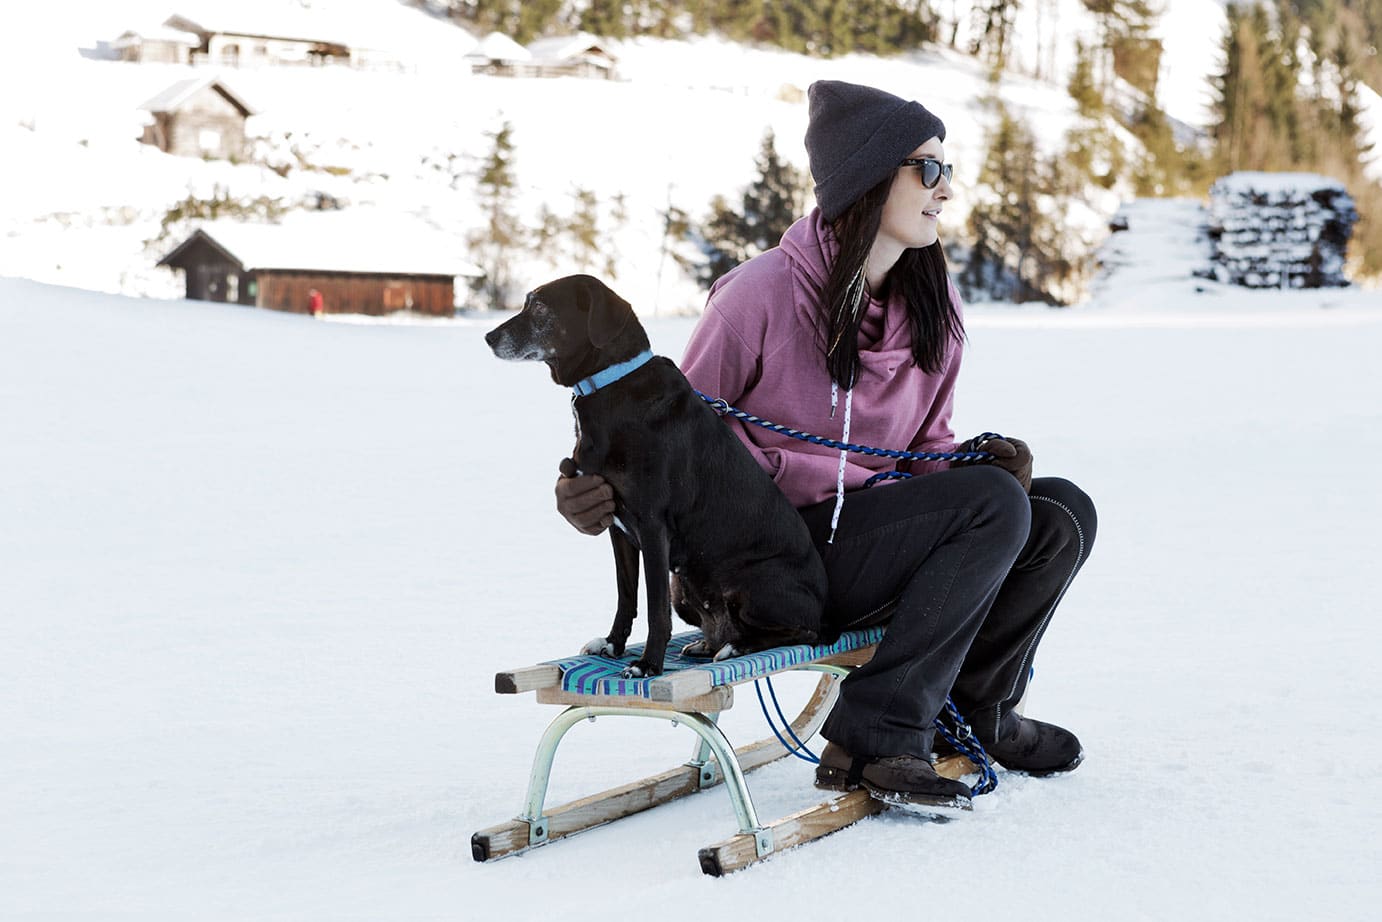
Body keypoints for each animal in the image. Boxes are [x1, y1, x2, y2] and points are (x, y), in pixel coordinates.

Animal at [486, 273, 823, 677]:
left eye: (539, 307)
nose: (488, 337)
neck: (609, 384)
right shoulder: (616, 524)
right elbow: (626, 595)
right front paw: (613, 644)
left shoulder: (652, 525)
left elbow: (654, 607)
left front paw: (648, 664)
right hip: (688, 587)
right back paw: (709, 644)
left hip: (753, 583)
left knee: (805, 632)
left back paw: (737, 647)